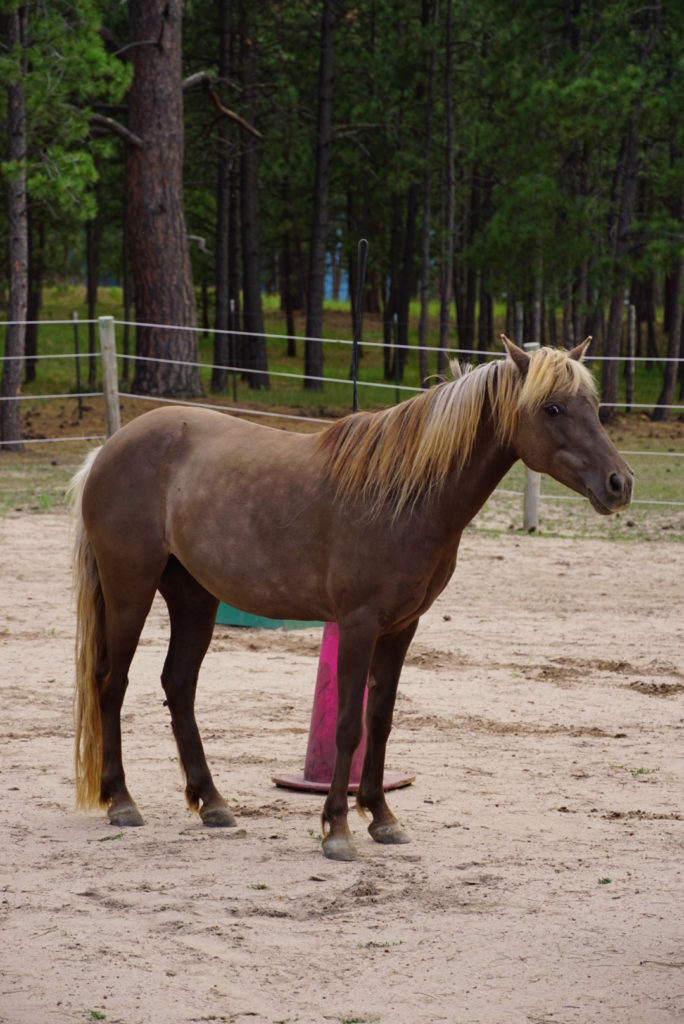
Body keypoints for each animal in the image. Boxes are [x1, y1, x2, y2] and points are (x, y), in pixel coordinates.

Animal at [72, 339, 634, 860]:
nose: (620, 483)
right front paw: (337, 829)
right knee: (112, 683)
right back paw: (121, 801)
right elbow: (347, 725)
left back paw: (212, 802)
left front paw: (382, 817)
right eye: (553, 408)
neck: (403, 493)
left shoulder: (401, 627)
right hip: (130, 590)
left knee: (179, 684)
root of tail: (107, 450)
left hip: (194, 598)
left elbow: (379, 722)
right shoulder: (359, 624)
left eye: (592, 403)